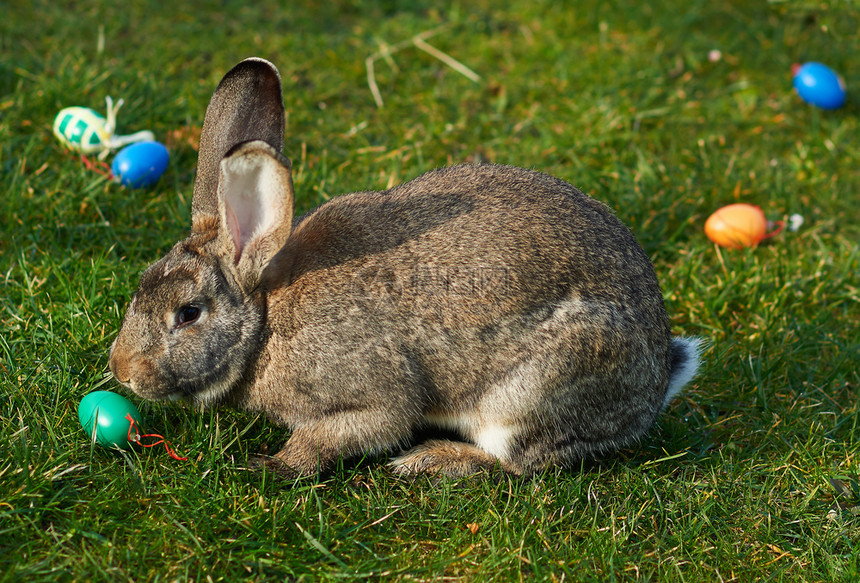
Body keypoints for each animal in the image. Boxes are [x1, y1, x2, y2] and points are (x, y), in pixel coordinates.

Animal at [107, 58, 704, 480]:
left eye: (188, 314)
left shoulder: (372, 393)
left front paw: (274, 465)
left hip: (534, 391)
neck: (265, 324)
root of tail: (655, 383)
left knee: (519, 462)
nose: (122, 371)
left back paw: (431, 460)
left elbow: (351, 431)